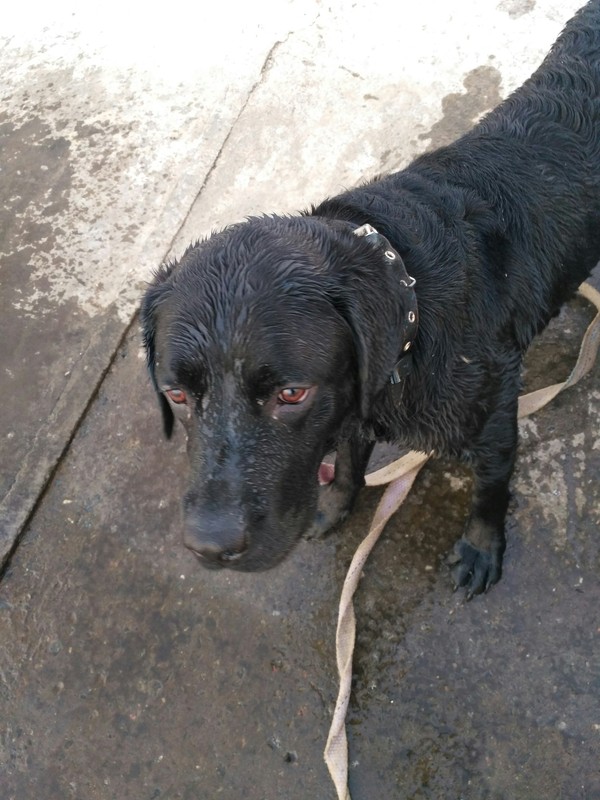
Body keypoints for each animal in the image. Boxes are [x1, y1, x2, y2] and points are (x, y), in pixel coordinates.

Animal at [143, 3, 600, 596]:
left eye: (291, 394)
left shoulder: (497, 414)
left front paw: (482, 547)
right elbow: (347, 460)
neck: (414, 300)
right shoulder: (353, 401)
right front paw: (337, 505)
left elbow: (491, 487)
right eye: (175, 394)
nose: (211, 548)